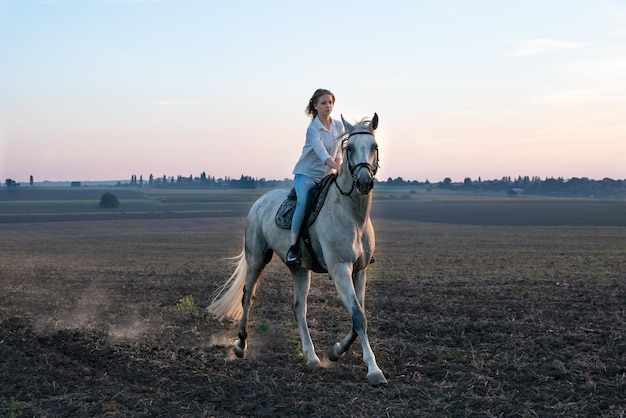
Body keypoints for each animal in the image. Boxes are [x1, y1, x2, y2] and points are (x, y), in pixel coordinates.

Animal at [210, 113, 386, 386]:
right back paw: (240, 345)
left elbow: (358, 316)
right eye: (349, 149)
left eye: (374, 147)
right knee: (247, 296)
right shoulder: (340, 270)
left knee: (298, 307)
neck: (352, 216)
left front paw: (336, 351)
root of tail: (260, 202)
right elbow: (358, 316)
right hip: (257, 258)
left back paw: (312, 357)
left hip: (300, 269)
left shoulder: (359, 271)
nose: (364, 181)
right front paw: (374, 370)